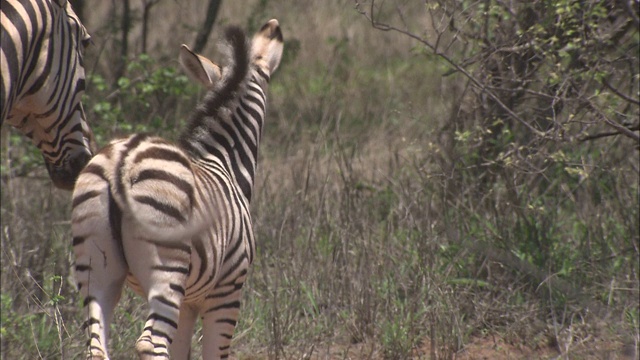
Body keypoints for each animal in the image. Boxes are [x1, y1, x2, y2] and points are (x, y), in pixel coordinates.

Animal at [70, 19, 282, 360]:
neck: (225, 161)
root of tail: (122, 160)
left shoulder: (189, 301)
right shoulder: (226, 292)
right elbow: (214, 353)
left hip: (96, 269)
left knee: (96, 346)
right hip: (166, 269)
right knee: (150, 343)